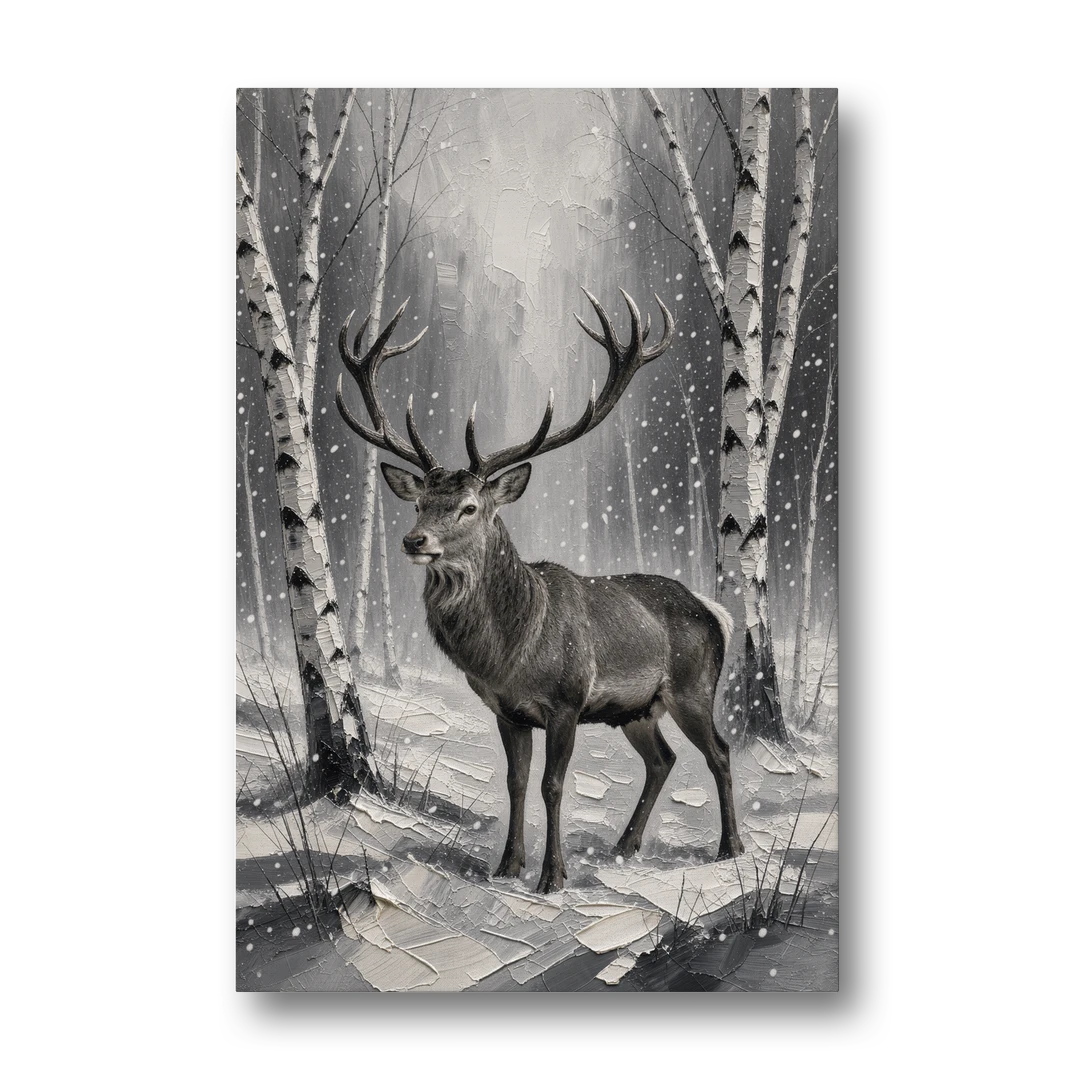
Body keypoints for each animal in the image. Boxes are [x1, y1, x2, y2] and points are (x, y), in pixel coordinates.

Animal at [336, 289, 745, 893]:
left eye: (469, 507)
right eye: (418, 503)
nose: (414, 540)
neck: (512, 651)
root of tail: (714, 610)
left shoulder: (567, 700)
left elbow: (554, 785)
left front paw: (553, 876)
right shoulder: (508, 711)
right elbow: (516, 783)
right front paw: (507, 866)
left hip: (693, 687)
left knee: (718, 751)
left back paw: (730, 846)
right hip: (639, 709)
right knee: (663, 759)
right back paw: (624, 845)